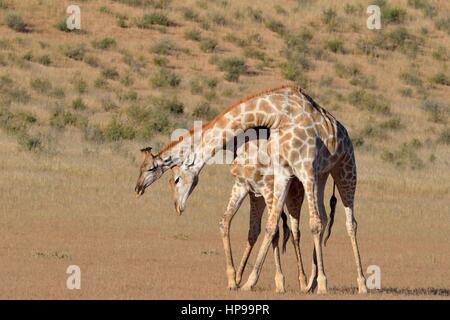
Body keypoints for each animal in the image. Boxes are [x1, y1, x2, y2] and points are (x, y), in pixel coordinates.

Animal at [167, 138, 312, 292]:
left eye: (176, 179)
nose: (178, 207)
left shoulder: (269, 191)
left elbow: (275, 231)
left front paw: (279, 283)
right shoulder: (247, 189)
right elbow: (226, 222)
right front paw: (233, 280)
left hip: (294, 195)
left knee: (295, 233)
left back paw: (303, 283)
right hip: (260, 198)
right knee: (256, 231)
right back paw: (239, 278)